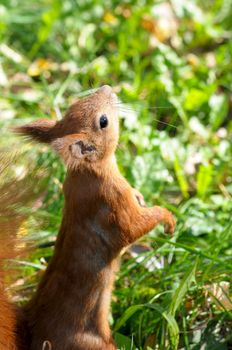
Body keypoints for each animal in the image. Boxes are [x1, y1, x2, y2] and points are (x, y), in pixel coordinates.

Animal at [0, 85, 175, 350]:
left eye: (72, 104)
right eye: (103, 121)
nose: (108, 88)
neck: (88, 171)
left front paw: (140, 195)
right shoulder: (113, 201)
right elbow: (133, 228)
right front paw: (167, 216)